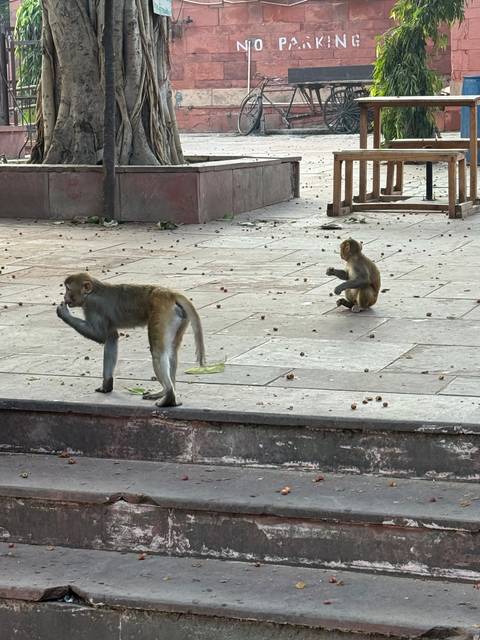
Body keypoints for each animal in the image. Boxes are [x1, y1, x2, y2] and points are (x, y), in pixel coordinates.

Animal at [56, 272, 206, 407]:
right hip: (180, 317)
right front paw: (107, 384)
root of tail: (170, 294)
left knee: (158, 353)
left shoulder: (92, 306)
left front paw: (64, 313)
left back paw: (169, 397)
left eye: (68, 289)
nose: (64, 296)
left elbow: (100, 336)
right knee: (172, 352)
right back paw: (166, 392)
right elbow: (111, 338)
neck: (93, 292)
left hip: (162, 313)